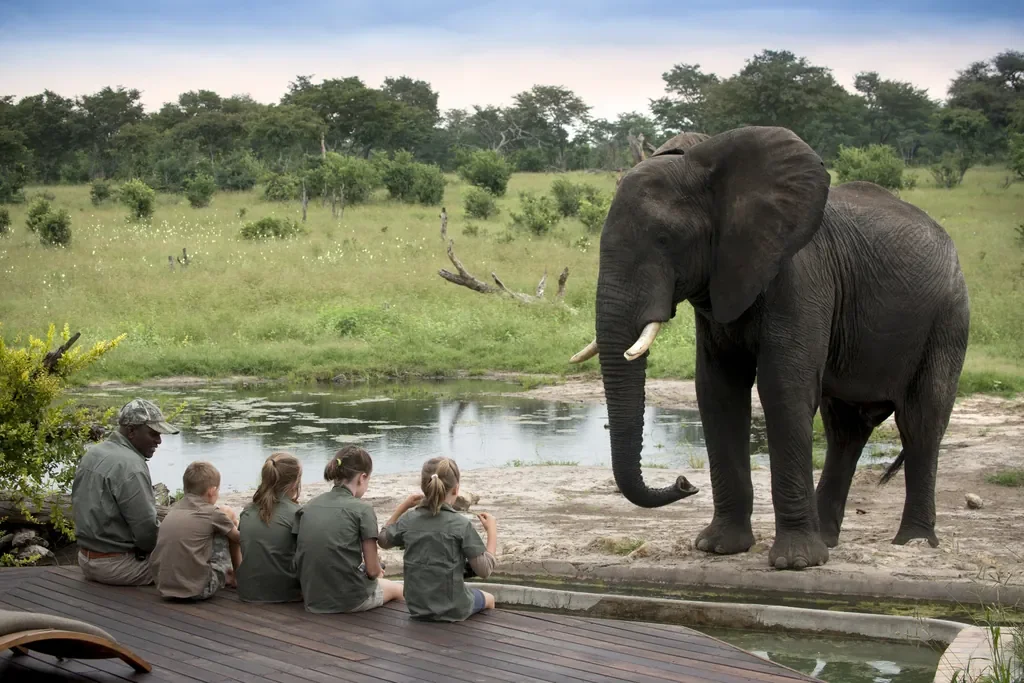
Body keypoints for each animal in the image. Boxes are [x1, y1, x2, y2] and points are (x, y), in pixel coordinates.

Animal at [570, 126, 970, 570]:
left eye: (665, 239)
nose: (684, 482)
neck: (707, 164)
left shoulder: (800, 277)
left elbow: (783, 388)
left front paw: (795, 563)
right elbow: (717, 391)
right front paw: (718, 547)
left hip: (948, 319)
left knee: (920, 421)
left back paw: (912, 543)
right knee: (845, 428)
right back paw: (828, 541)